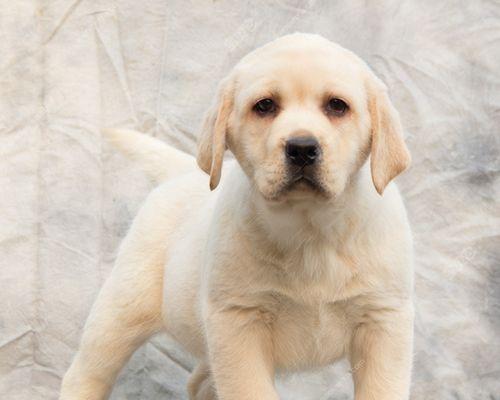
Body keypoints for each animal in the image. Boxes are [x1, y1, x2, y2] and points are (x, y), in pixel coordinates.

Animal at [60, 33, 412, 400]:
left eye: (337, 106)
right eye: (265, 106)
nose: (302, 148)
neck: (308, 227)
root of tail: (180, 173)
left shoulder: (384, 319)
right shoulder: (238, 321)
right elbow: (249, 389)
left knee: (199, 381)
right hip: (121, 309)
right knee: (87, 372)